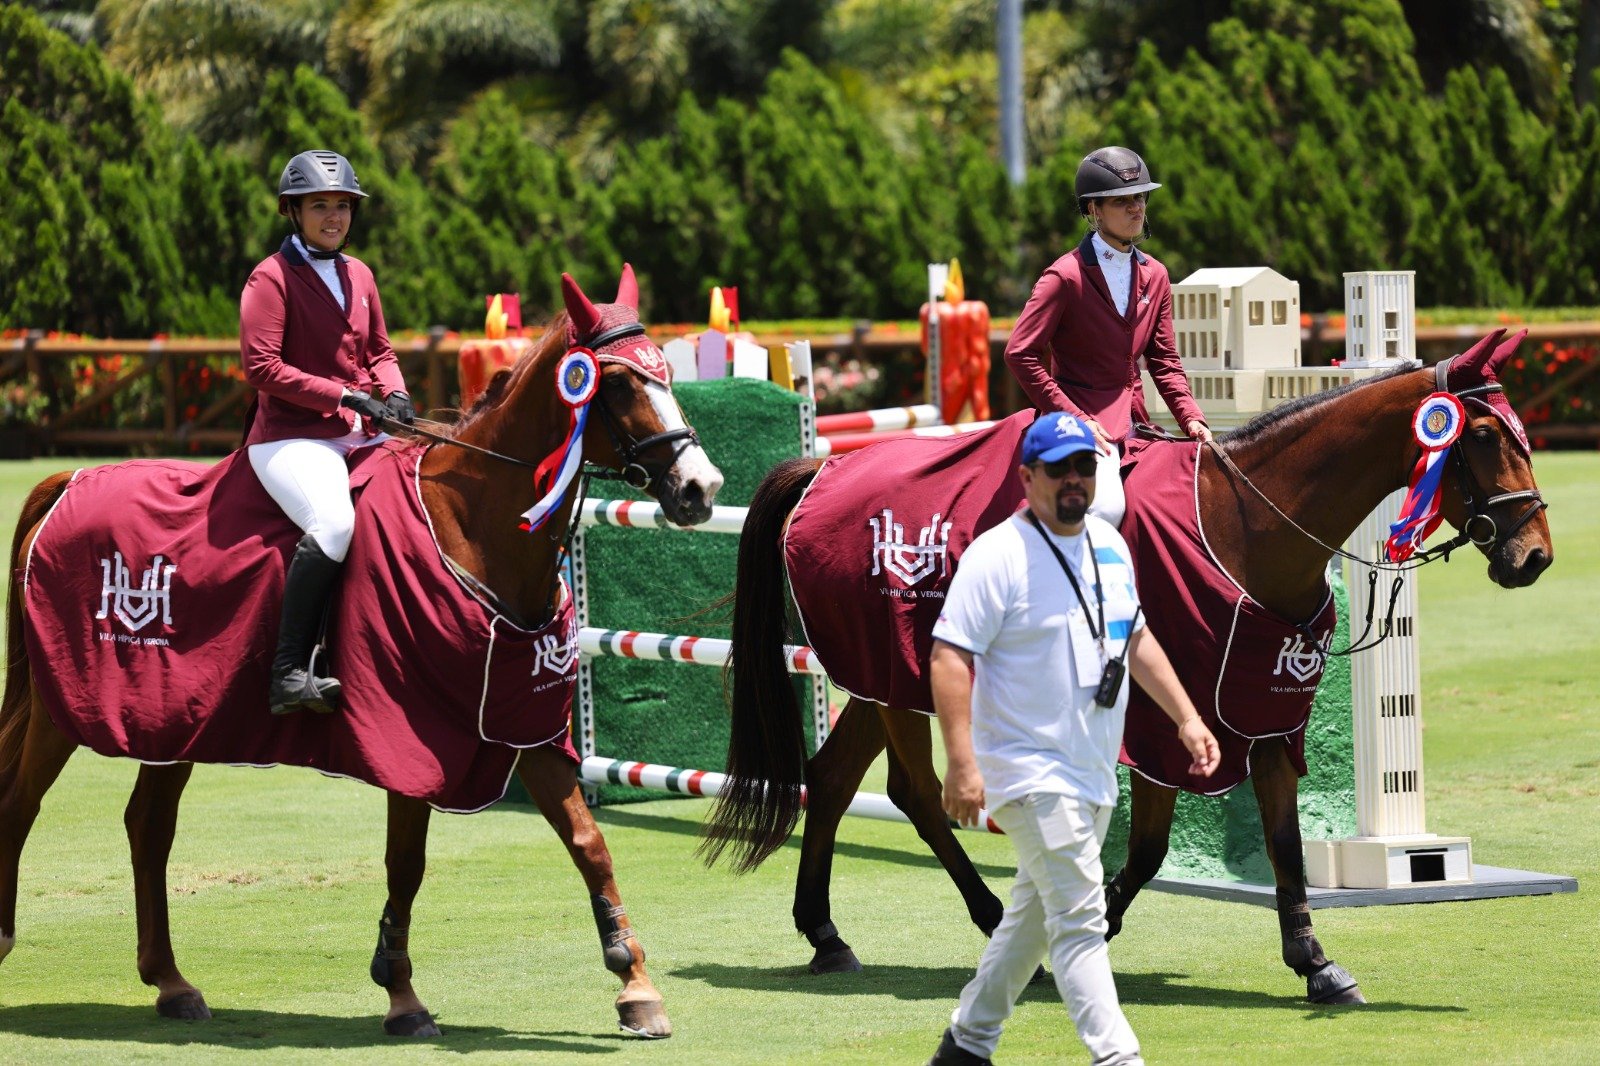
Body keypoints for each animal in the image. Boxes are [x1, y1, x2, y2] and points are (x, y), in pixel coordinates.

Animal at [0, 264, 726, 1030]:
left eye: (663, 371)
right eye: (613, 382)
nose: (700, 488)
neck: (473, 527)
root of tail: (69, 482)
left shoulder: (519, 724)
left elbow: (589, 844)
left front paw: (635, 983)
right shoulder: (412, 733)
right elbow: (406, 860)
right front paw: (401, 993)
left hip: (172, 715)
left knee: (148, 824)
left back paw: (170, 982)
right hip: (64, 709)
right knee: (21, 802)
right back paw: (13, 940)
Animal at [704, 329, 1548, 1005]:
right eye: (1479, 434)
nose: (1535, 555)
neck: (1246, 525)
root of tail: (823, 471)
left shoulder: (1264, 710)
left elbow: (1284, 844)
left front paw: (1315, 963)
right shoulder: (1164, 725)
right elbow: (1146, 852)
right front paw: (1084, 932)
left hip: (884, 679)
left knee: (834, 778)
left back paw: (825, 933)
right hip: (900, 670)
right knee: (917, 795)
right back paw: (984, 919)